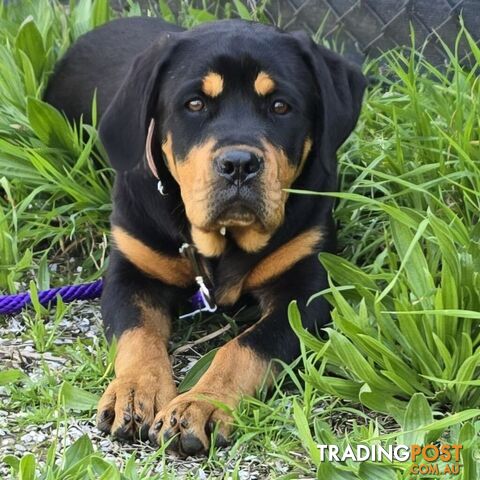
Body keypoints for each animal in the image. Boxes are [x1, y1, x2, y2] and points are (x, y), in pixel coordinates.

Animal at [46, 16, 368, 456]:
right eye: (195, 104)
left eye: (280, 106)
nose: (239, 163)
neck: (224, 240)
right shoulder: (131, 272)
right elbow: (138, 334)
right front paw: (135, 391)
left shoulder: (306, 289)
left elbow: (245, 348)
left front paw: (200, 405)